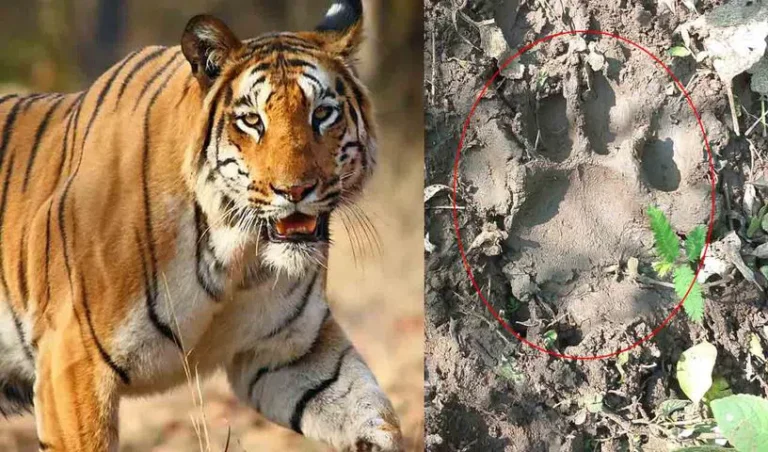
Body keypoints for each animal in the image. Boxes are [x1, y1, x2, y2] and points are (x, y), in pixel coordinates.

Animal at [0, 0, 404, 450]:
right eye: (252, 121)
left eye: (322, 114)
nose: (295, 190)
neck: (237, 255)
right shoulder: (73, 363)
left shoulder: (290, 352)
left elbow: (371, 411)